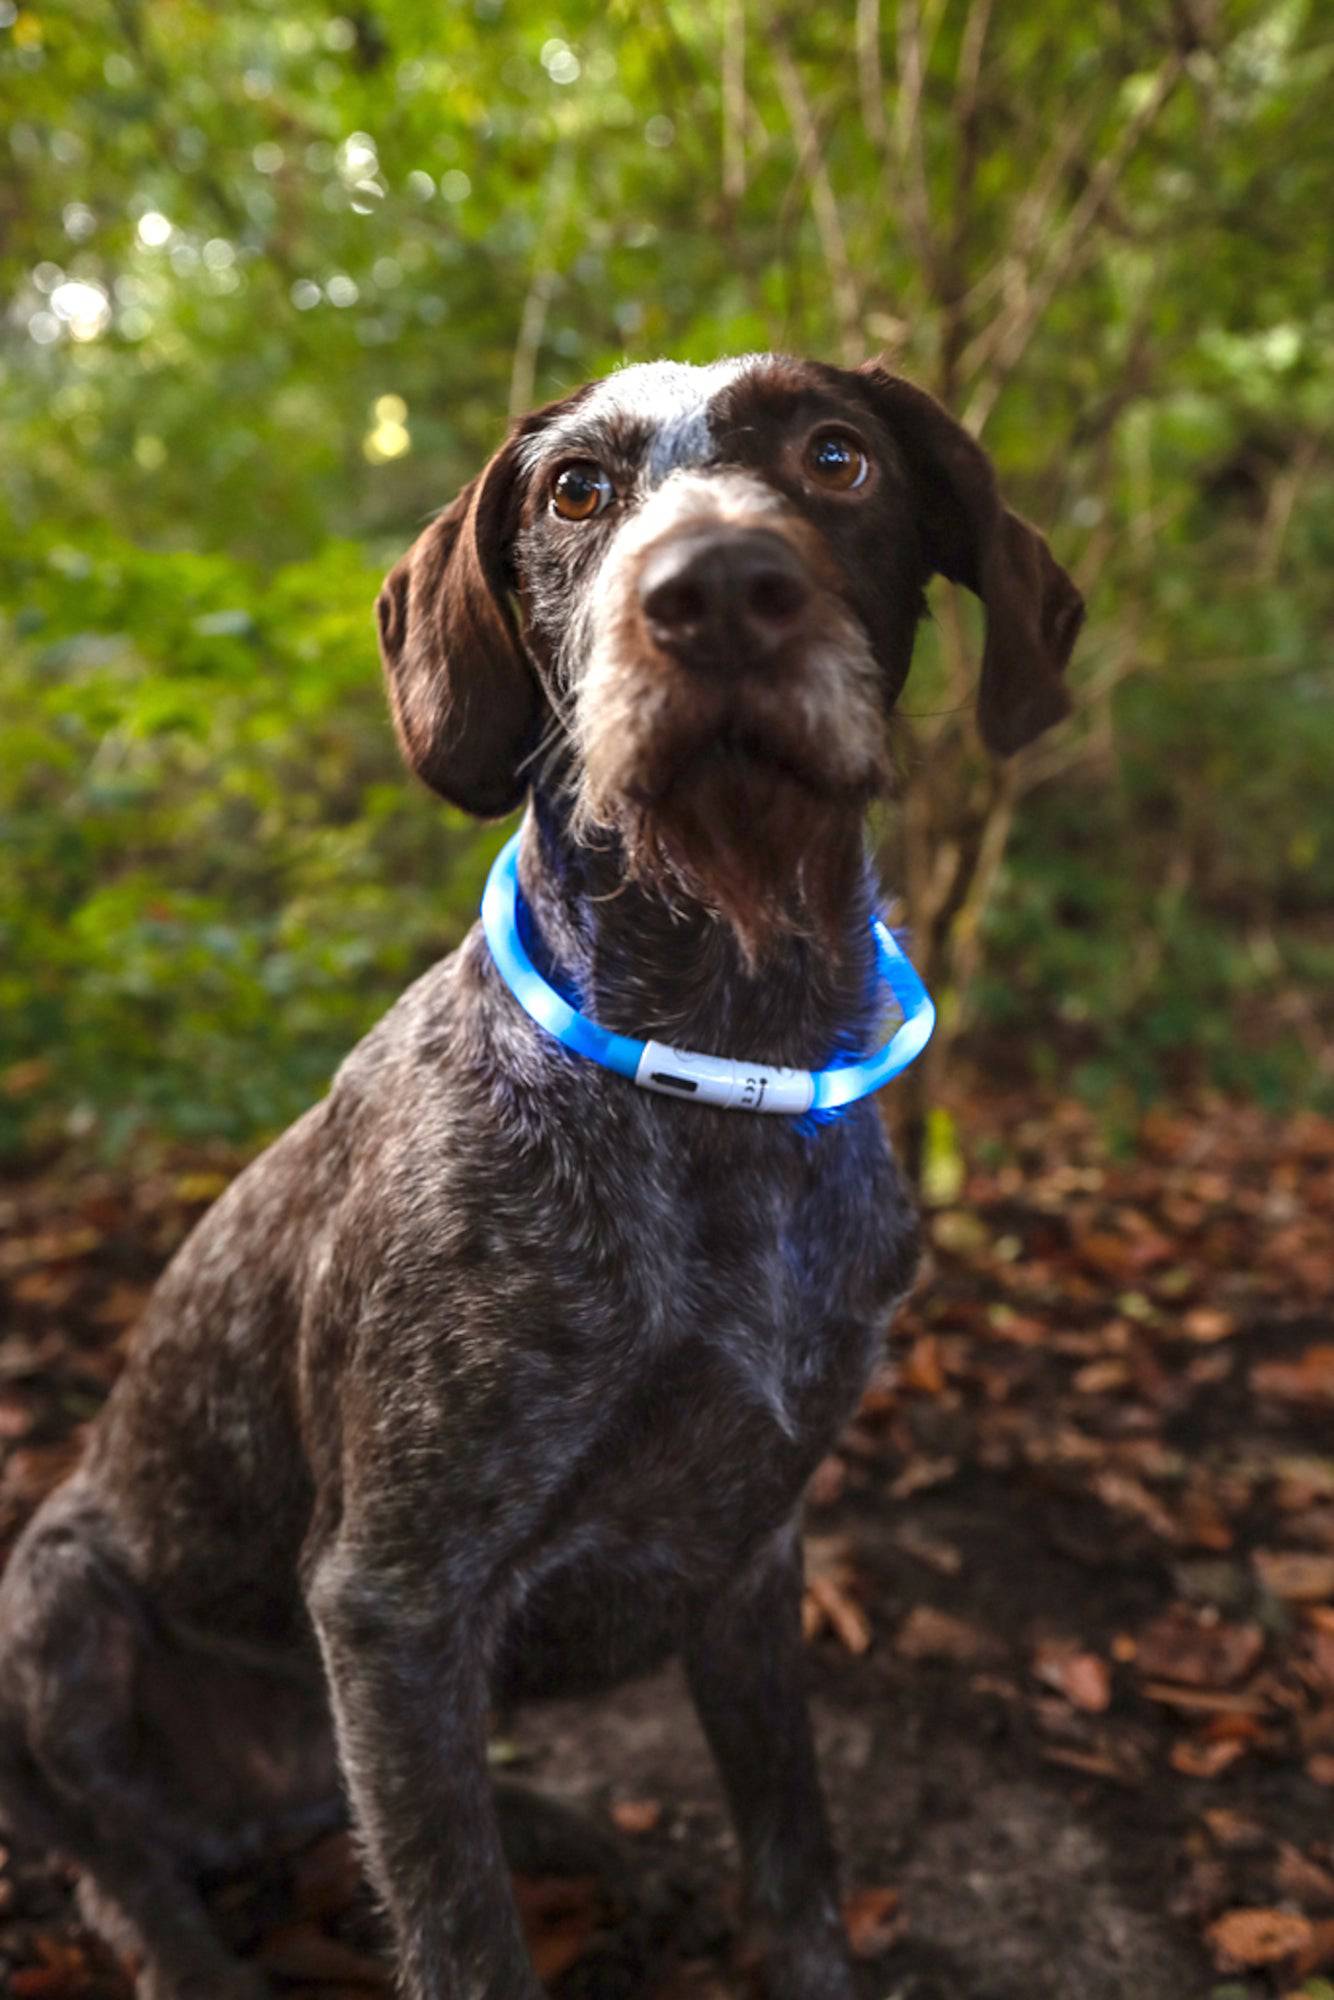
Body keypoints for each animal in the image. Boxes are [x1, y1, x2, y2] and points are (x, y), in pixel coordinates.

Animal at [0, 360, 1088, 2000]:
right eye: (576, 490)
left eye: (835, 458)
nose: (716, 592)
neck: (721, 1048)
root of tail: (251, 1814)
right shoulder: (396, 1603)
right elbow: (463, 1936)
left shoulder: (751, 1554)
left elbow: (794, 1859)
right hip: (58, 1610)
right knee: (115, 1862)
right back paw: (192, 1951)